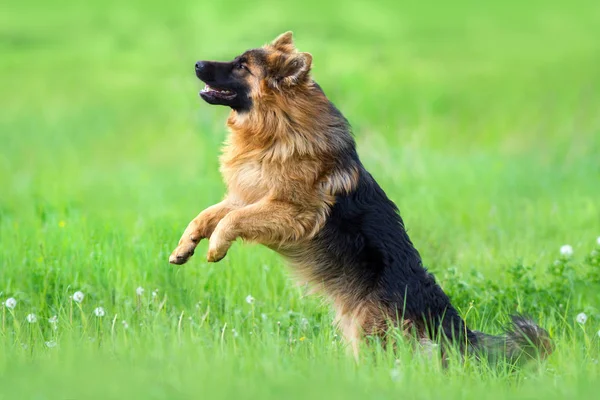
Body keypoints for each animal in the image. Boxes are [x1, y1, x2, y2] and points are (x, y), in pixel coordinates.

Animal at [170, 31, 552, 362]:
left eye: (241, 66)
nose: (197, 64)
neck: (278, 127)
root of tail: (455, 330)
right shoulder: (246, 196)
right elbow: (207, 215)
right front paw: (184, 247)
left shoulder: (292, 213)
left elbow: (232, 221)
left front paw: (216, 247)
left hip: (373, 334)